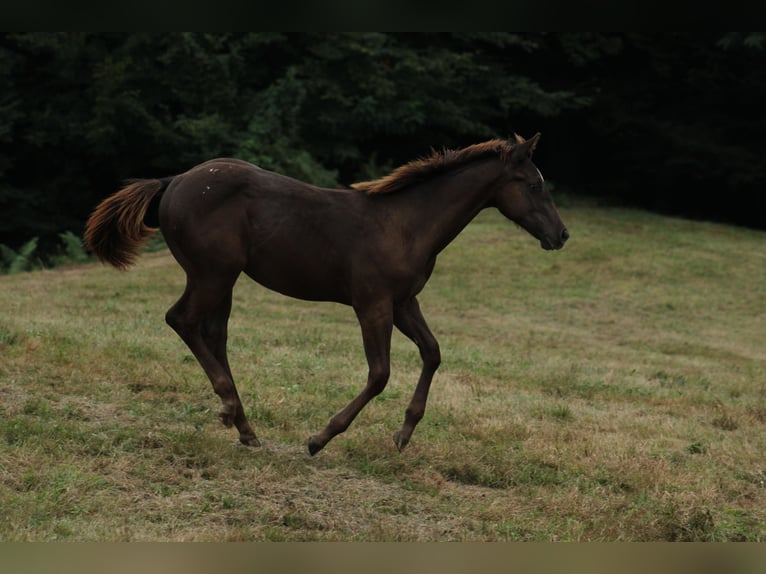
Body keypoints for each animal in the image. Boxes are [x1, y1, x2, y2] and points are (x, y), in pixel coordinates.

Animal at [84, 133, 568, 456]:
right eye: (534, 184)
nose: (561, 235)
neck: (406, 224)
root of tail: (176, 179)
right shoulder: (372, 304)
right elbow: (380, 374)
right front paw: (320, 438)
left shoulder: (403, 303)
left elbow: (432, 353)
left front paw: (404, 433)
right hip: (211, 274)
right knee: (182, 320)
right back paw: (230, 408)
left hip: (223, 279)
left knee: (213, 334)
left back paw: (243, 426)